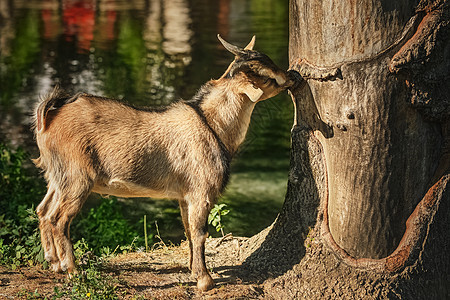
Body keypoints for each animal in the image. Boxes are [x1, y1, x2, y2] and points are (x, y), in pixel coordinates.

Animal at [34, 35, 292, 290]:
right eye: (266, 76)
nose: (292, 76)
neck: (213, 125)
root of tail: (48, 119)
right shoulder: (201, 192)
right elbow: (200, 232)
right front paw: (205, 280)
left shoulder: (185, 195)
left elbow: (188, 230)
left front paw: (192, 270)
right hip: (77, 177)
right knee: (59, 219)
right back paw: (73, 270)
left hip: (57, 176)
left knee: (43, 210)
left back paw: (54, 263)